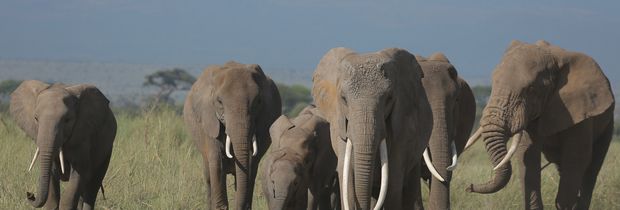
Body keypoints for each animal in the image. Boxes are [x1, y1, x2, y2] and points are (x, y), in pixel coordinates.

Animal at [10, 79, 117, 209]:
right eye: (36, 118)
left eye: (67, 120)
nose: (30, 194)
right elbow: (51, 176)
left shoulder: (83, 137)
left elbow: (78, 174)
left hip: (107, 149)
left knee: (92, 188)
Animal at [183, 61, 282, 210]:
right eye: (219, 102)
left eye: (258, 101)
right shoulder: (209, 120)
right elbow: (217, 162)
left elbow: (250, 165)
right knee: (208, 176)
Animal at [312, 48, 434, 210]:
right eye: (343, 99)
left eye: (389, 99)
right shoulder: (340, 126)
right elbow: (347, 179)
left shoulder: (402, 130)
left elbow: (393, 182)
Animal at [464, 40, 616, 209]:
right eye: (493, 83)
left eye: (530, 89)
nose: (469, 187)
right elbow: (527, 155)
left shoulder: (581, 111)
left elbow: (576, 157)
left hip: (607, 123)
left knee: (591, 170)